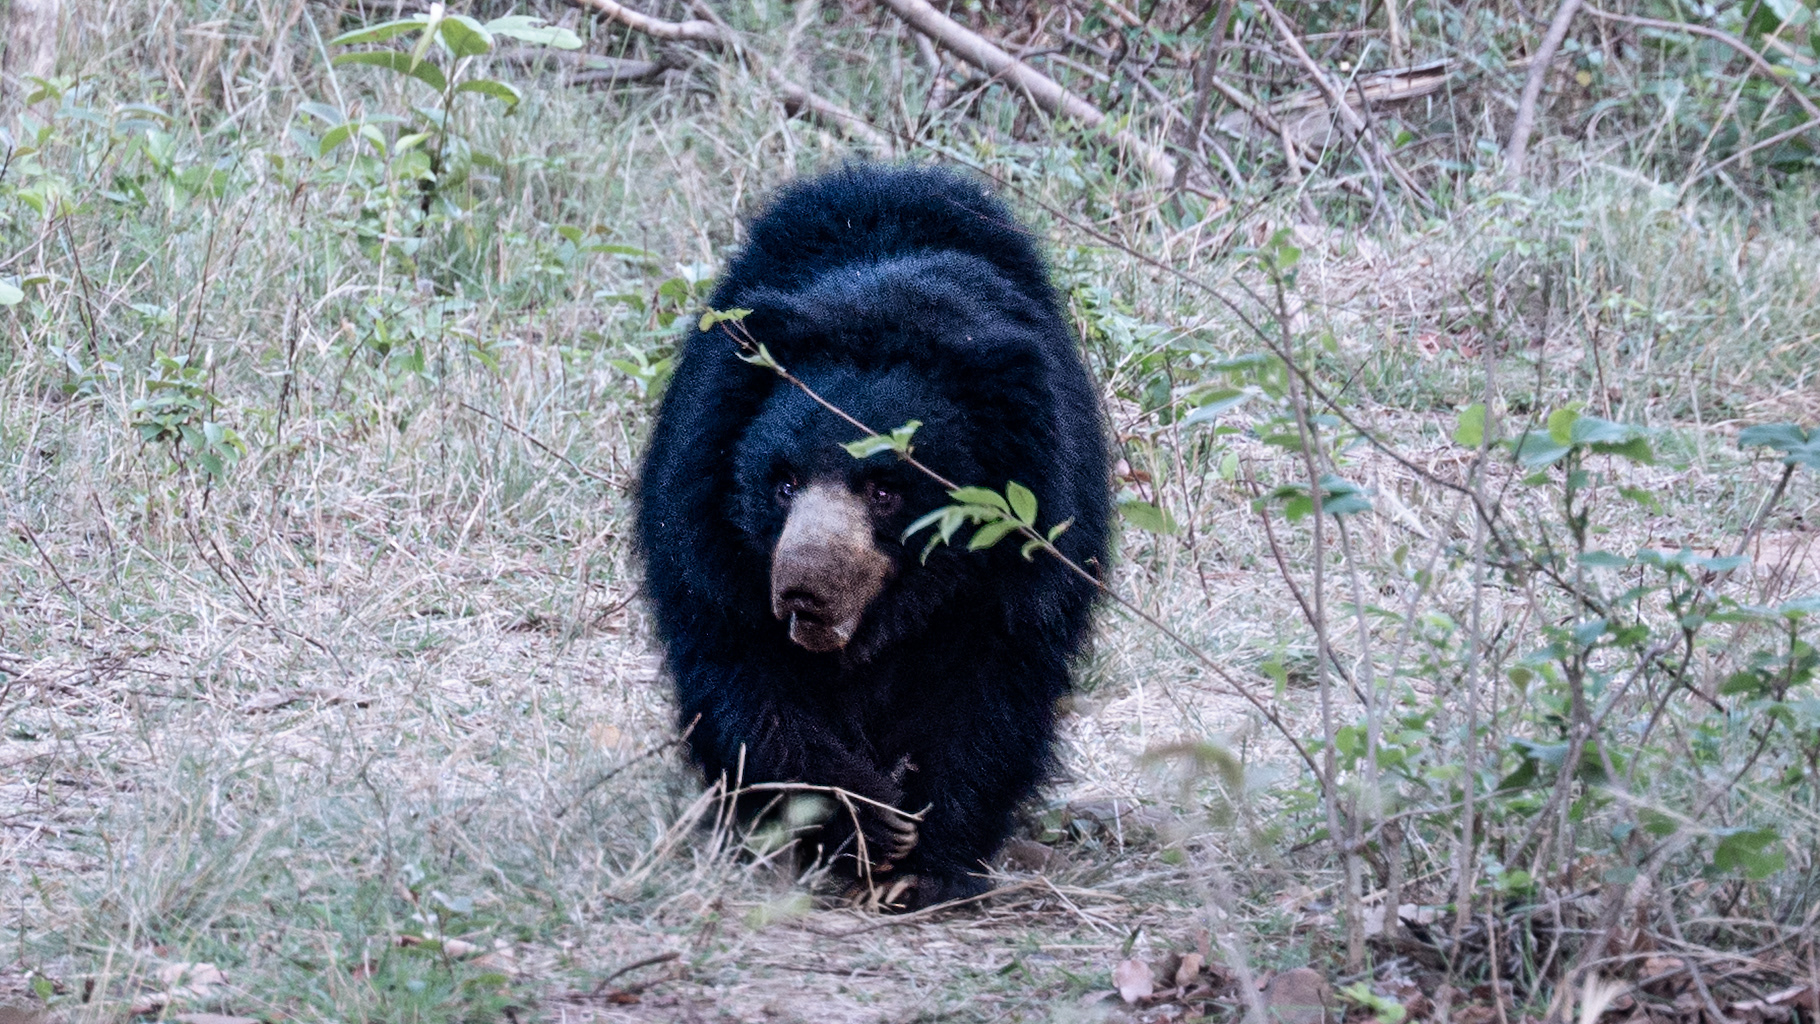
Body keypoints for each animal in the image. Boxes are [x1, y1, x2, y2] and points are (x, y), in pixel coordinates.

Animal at [634, 164, 1110, 910]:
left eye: (886, 490)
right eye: (782, 483)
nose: (804, 591)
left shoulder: (1025, 560)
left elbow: (991, 692)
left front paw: (926, 865)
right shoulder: (705, 532)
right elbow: (746, 677)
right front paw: (867, 824)